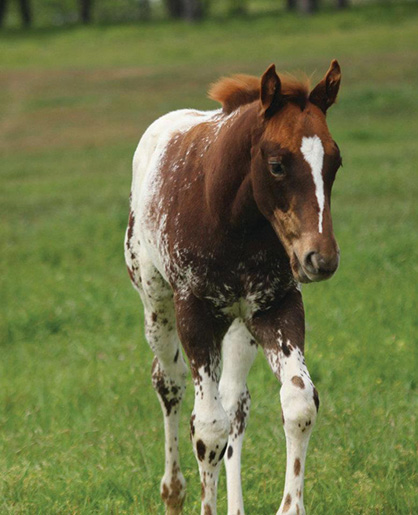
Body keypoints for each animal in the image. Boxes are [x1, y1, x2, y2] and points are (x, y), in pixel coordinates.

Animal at [125, 61, 342, 515]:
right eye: (277, 165)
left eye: (335, 162)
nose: (320, 258)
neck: (232, 219)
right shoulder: (195, 314)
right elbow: (208, 429)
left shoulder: (276, 308)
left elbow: (299, 403)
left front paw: (290, 506)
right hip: (155, 303)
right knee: (169, 381)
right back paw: (173, 491)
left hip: (241, 326)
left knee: (235, 401)